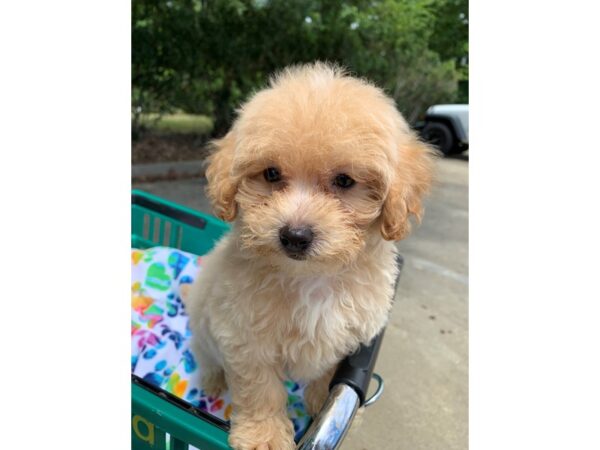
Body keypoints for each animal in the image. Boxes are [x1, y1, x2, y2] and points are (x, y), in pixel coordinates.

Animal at [185, 61, 434, 448]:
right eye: (271, 174)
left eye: (345, 181)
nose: (295, 236)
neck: (312, 276)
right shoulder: (244, 336)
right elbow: (260, 389)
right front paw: (265, 435)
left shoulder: (351, 330)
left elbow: (330, 372)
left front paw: (321, 403)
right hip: (201, 322)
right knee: (206, 353)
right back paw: (213, 379)